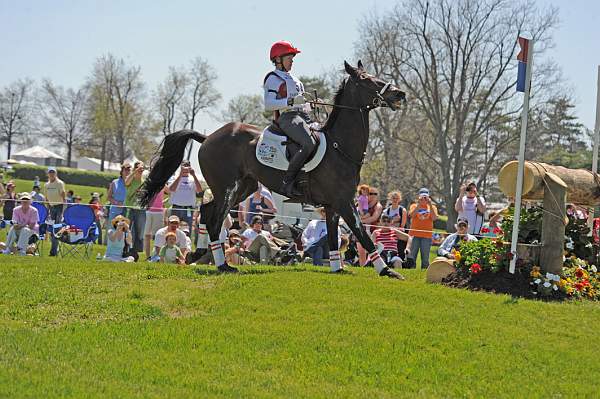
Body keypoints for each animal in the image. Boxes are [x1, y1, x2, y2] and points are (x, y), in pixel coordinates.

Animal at [138, 60, 406, 278]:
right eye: (367, 80)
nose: (400, 93)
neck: (339, 147)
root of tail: (208, 137)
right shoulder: (344, 202)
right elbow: (363, 235)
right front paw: (387, 270)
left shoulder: (333, 206)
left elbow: (332, 237)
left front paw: (337, 268)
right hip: (227, 188)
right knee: (214, 220)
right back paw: (223, 265)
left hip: (243, 188)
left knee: (206, 211)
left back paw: (202, 252)